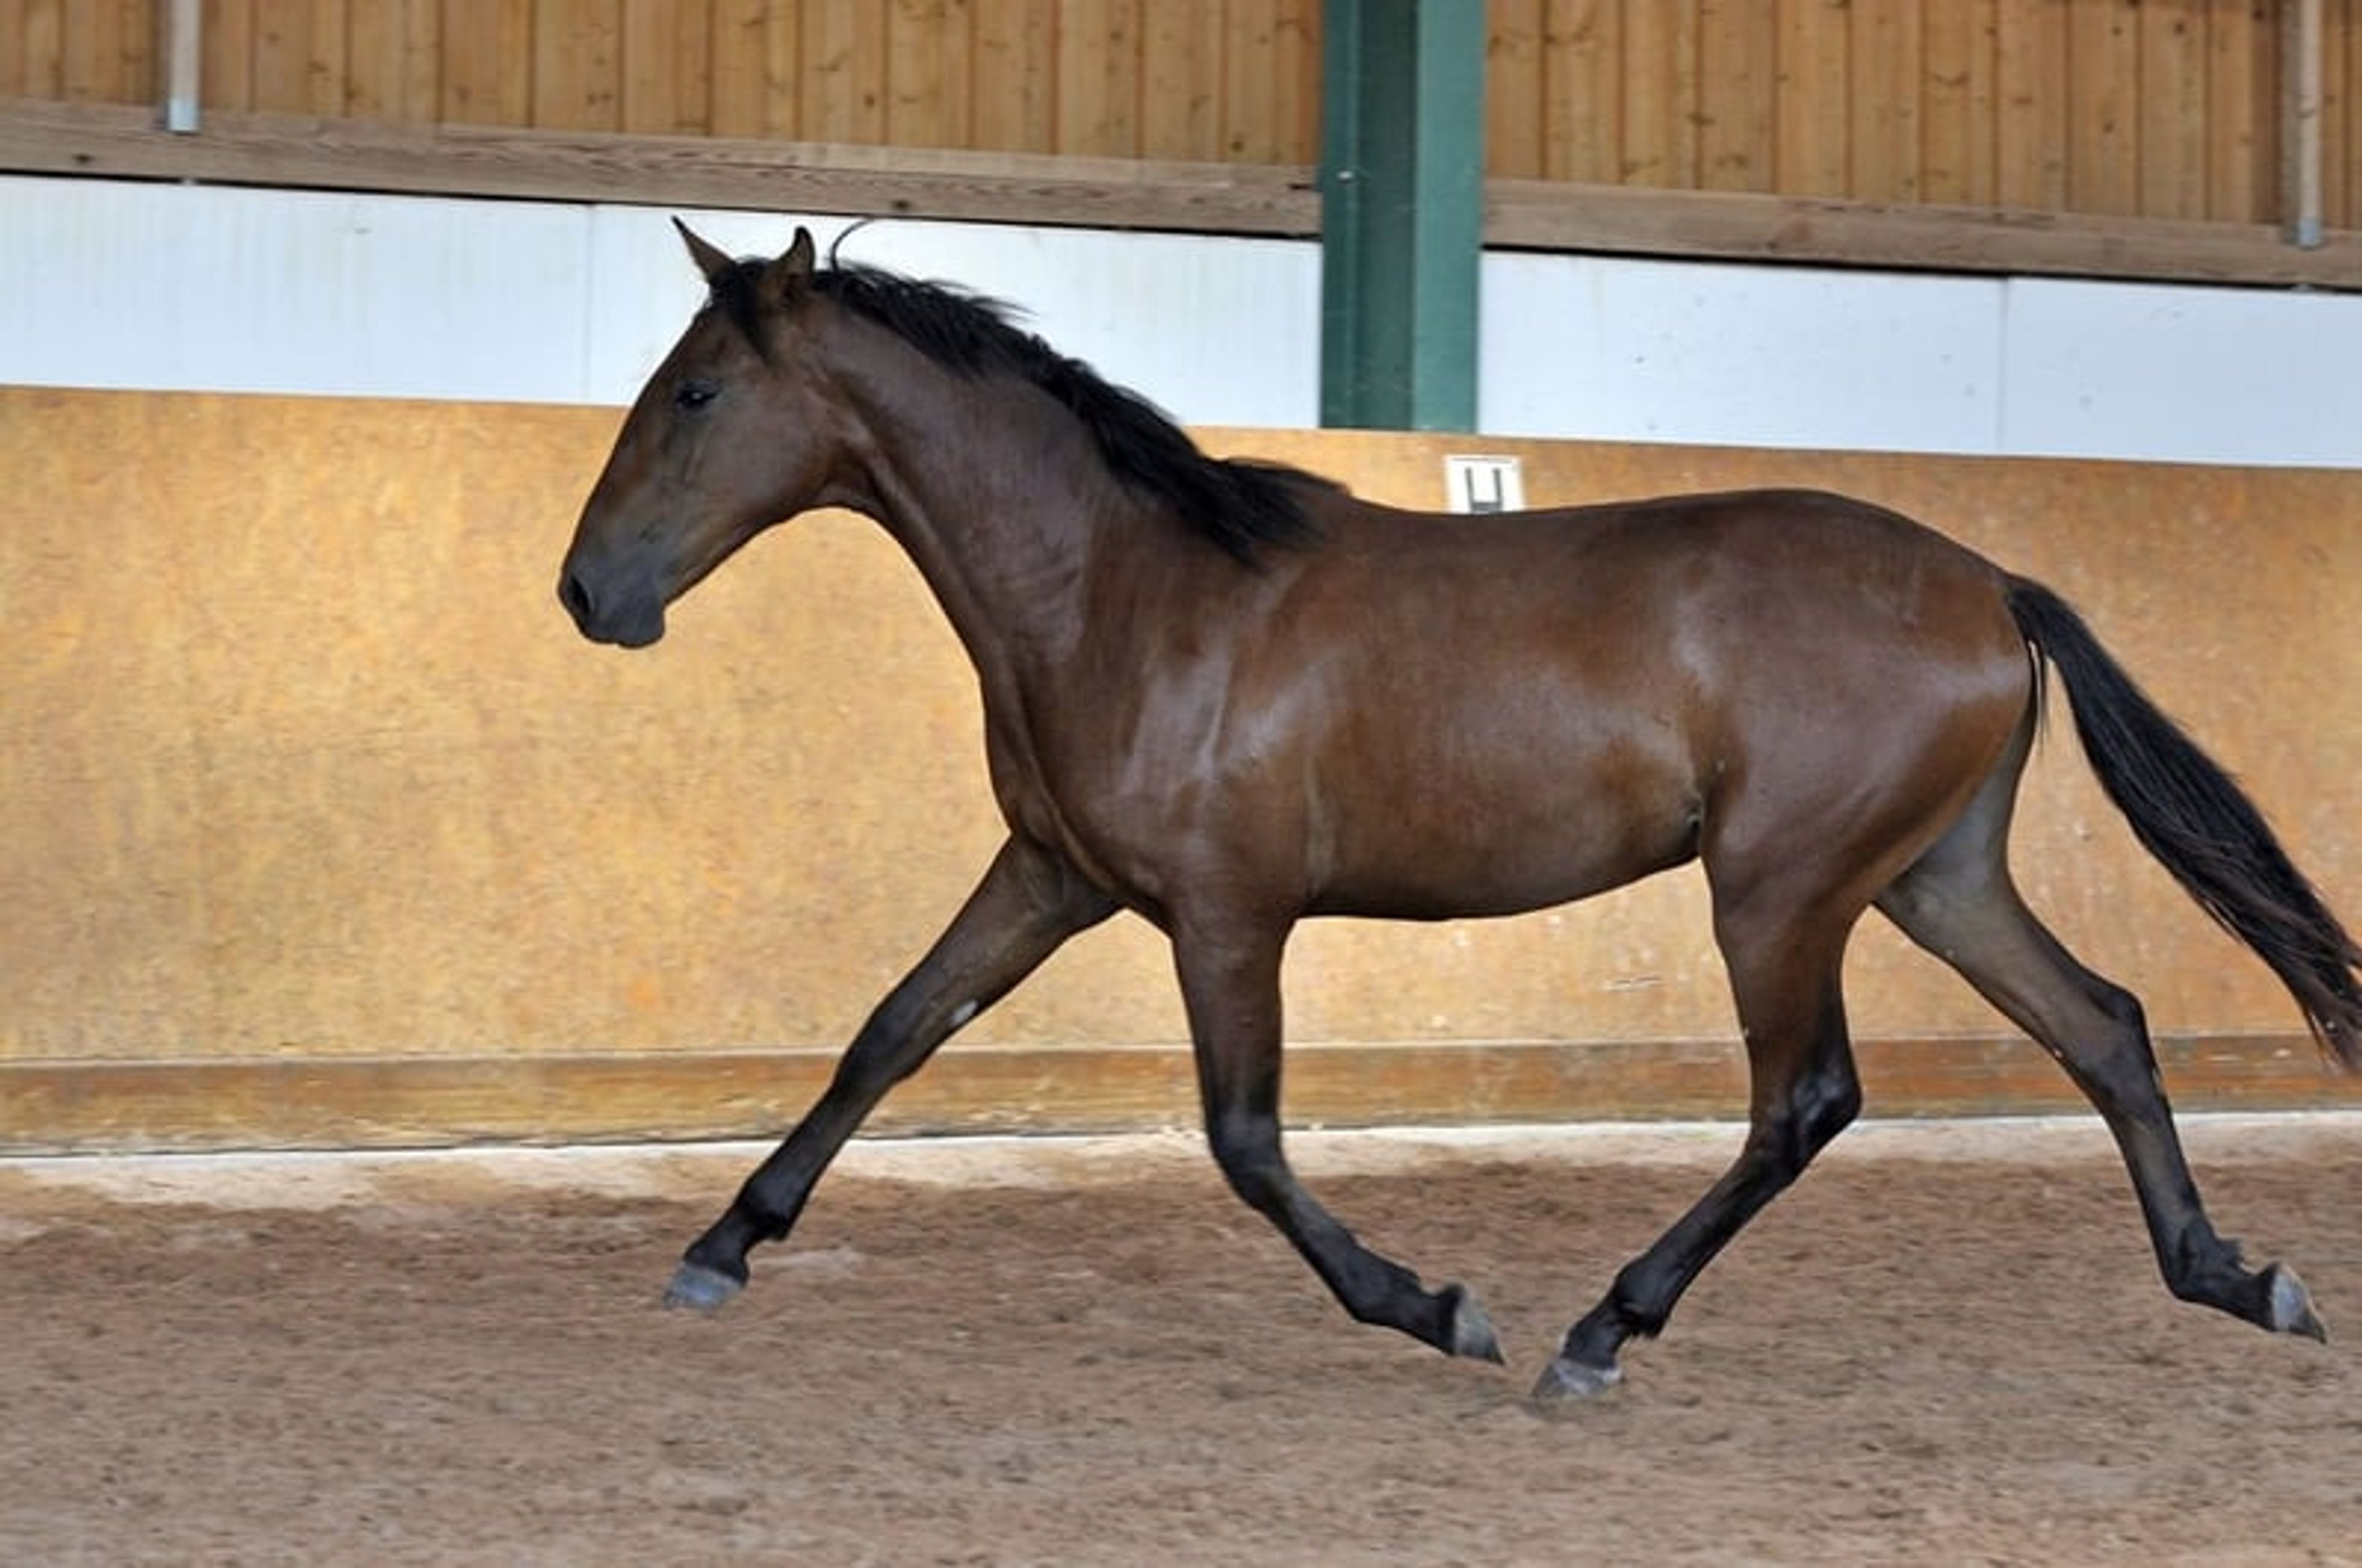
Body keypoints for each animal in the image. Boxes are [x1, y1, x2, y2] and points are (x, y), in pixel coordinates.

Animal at [557, 222, 2362, 1407]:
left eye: (696, 393)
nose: (589, 592)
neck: (1129, 591)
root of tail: (1991, 583)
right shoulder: (1053, 873)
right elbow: (890, 1033)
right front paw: (722, 1244)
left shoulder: (1226, 914)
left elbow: (1244, 1141)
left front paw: (1433, 1305)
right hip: (1931, 877)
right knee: (2104, 1025)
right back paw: (2235, 1277)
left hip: (1780, 890)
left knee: (1807, 1099)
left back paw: (1598, 1333)